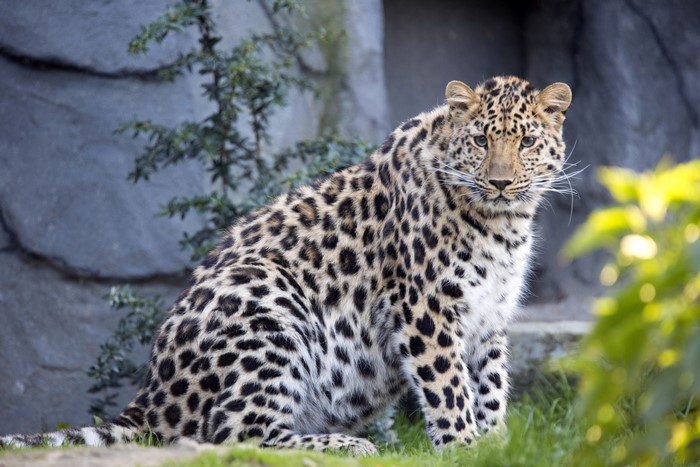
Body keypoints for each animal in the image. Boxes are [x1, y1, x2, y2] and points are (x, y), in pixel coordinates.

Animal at [1, 75, 572, 455]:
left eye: (525, 141)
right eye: (480, 141)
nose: (500, 182)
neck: (502, 223)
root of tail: (151, 395)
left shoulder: (489, 317)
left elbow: (490, 387)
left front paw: (496, 445)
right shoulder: (427, 308)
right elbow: (449, 387)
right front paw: (465, 449)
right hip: (265, 298)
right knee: (231, 435)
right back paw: (348, 447)